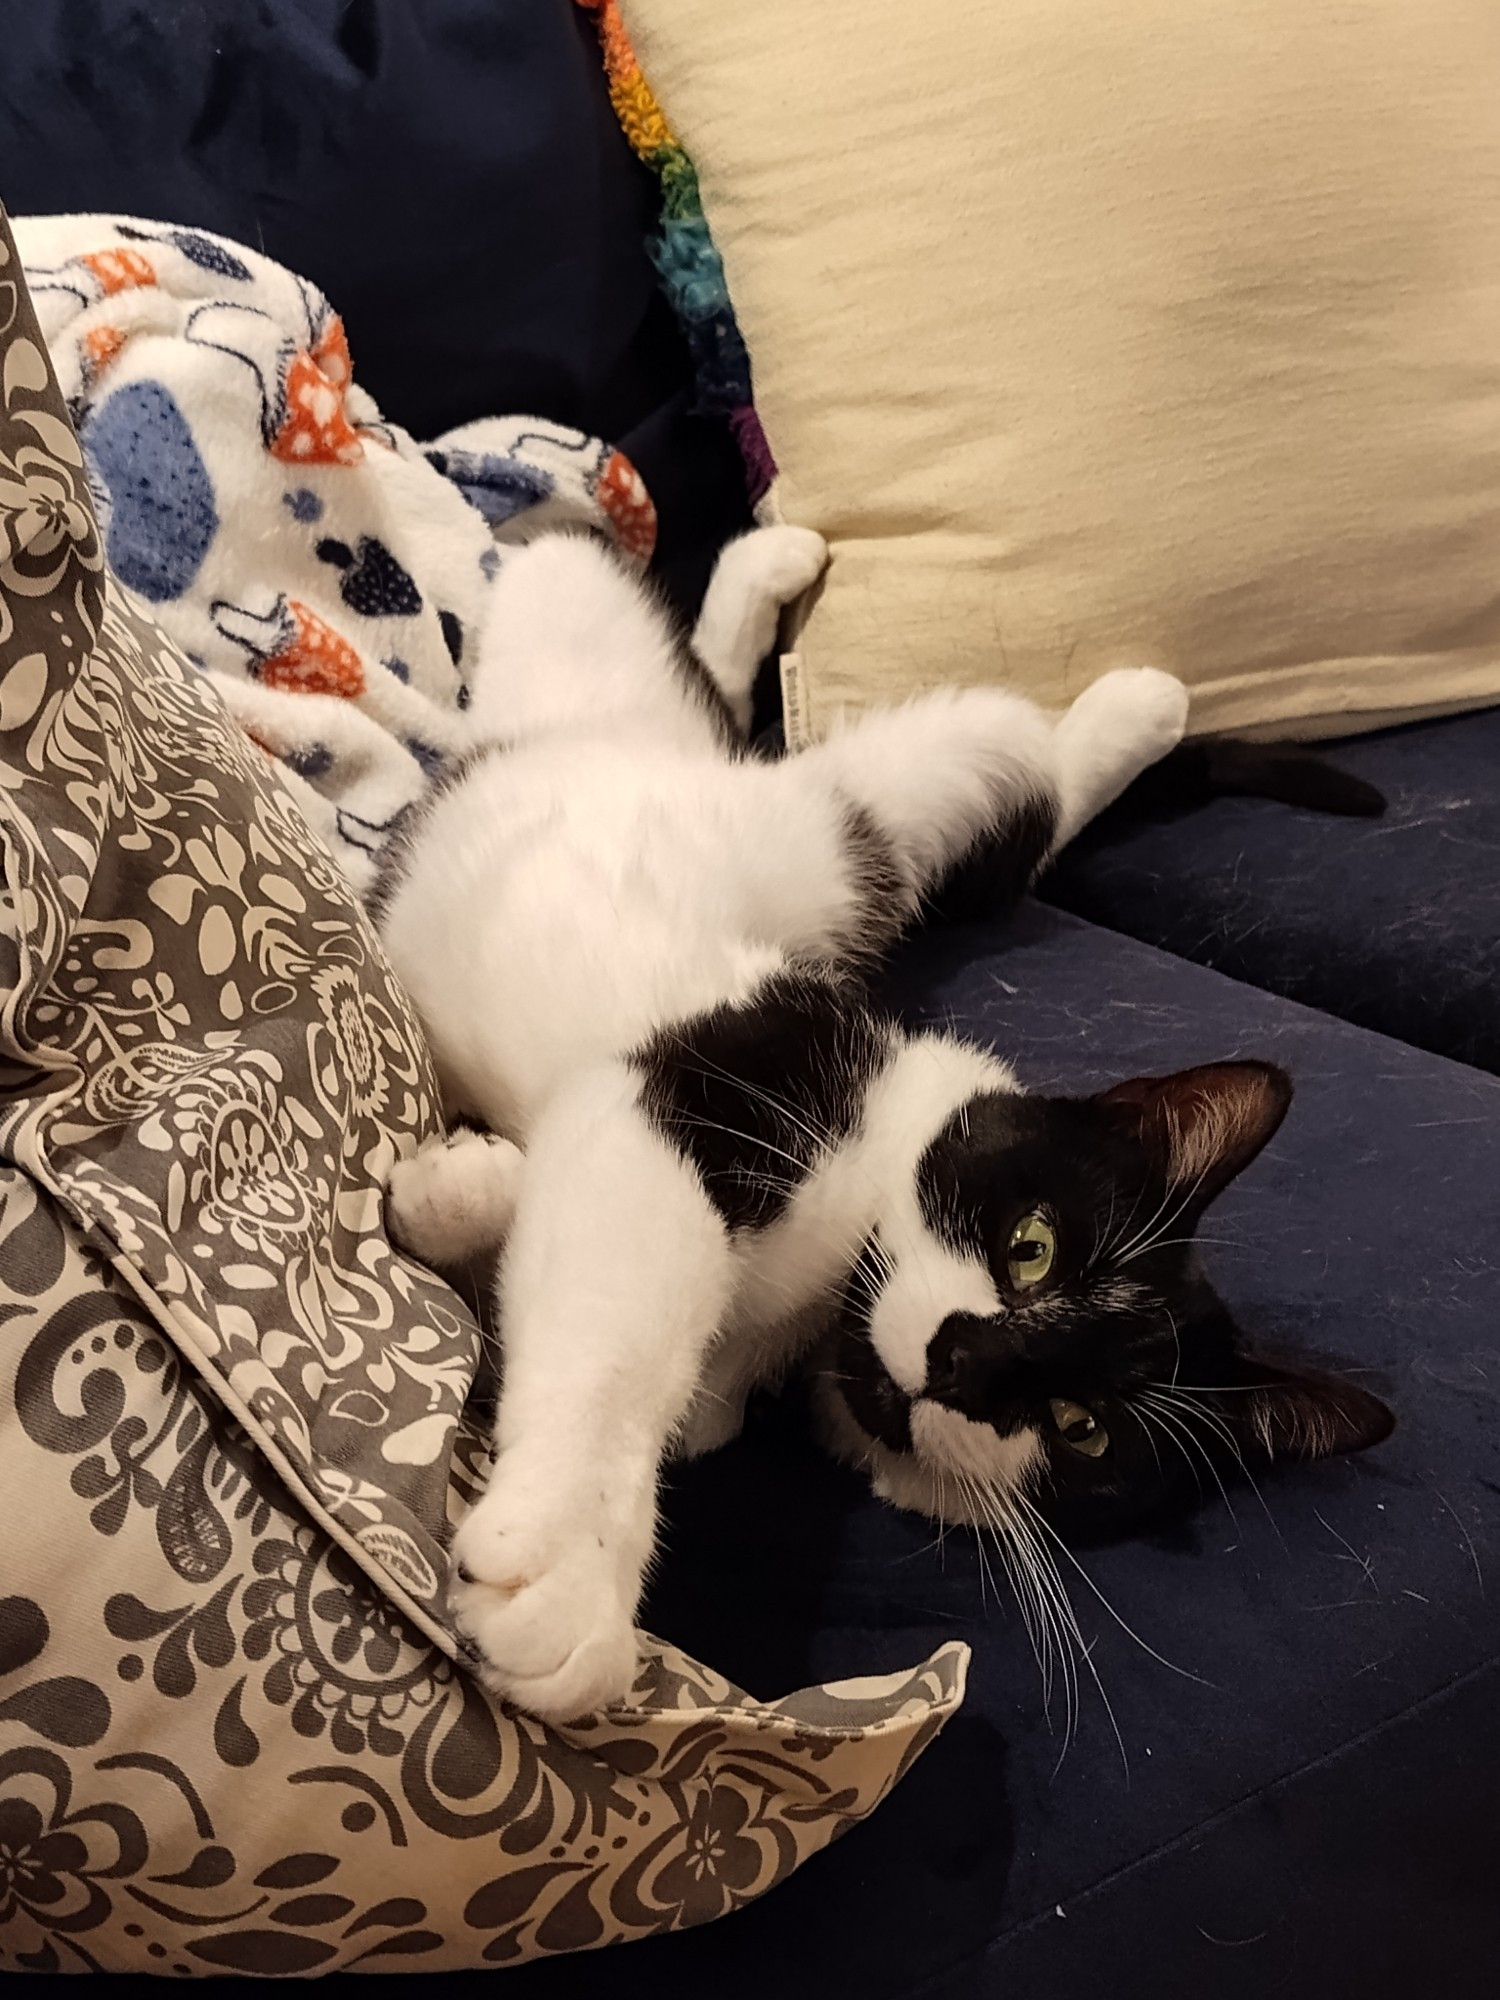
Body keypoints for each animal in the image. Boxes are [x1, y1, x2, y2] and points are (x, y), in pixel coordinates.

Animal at [376, 528, 1400, 1720]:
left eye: (1082, 1429)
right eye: (1032, 1247)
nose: (965, 1361)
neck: (811, 1314)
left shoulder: (706, 1353)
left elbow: (564, 1234)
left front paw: (460, 1187)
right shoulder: (735, 1082)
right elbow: (619, 1313)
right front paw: (571, 1570)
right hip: (768, 743)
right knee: (981, 769)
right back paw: (1128, 700)